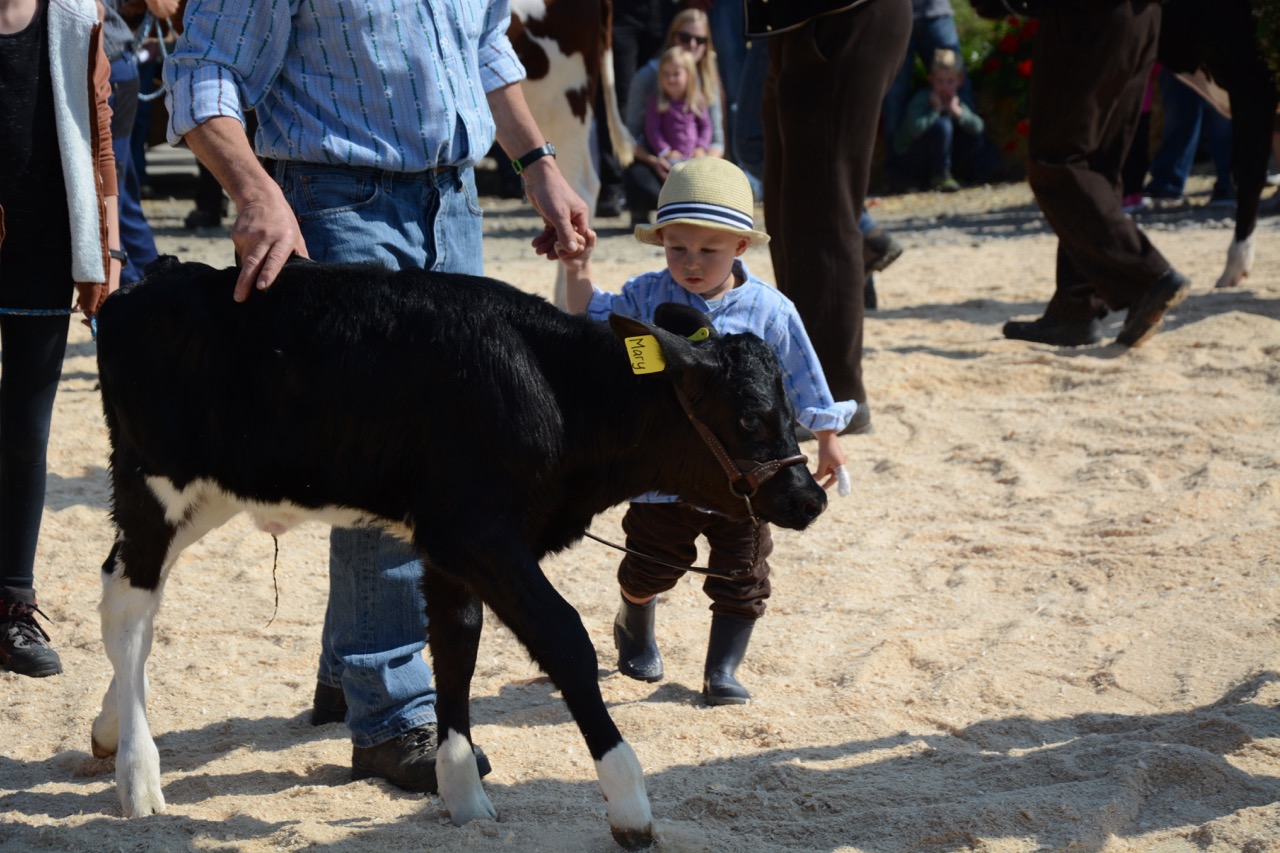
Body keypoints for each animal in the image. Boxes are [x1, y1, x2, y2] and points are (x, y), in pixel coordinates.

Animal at [88, 258, 827, 849]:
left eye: (790, 407)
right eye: (749, 417)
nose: (809, 498)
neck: (554, 389)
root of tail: (147, 283)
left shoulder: (449, 546)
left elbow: (456, 642)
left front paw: (463, 795)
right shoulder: (476, 531)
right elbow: (563, 637)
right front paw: (630, 805)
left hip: (206, 494)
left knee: (133, 600)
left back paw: (108, 728)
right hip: (154, 484)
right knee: (128, 607)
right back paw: (139, 775)